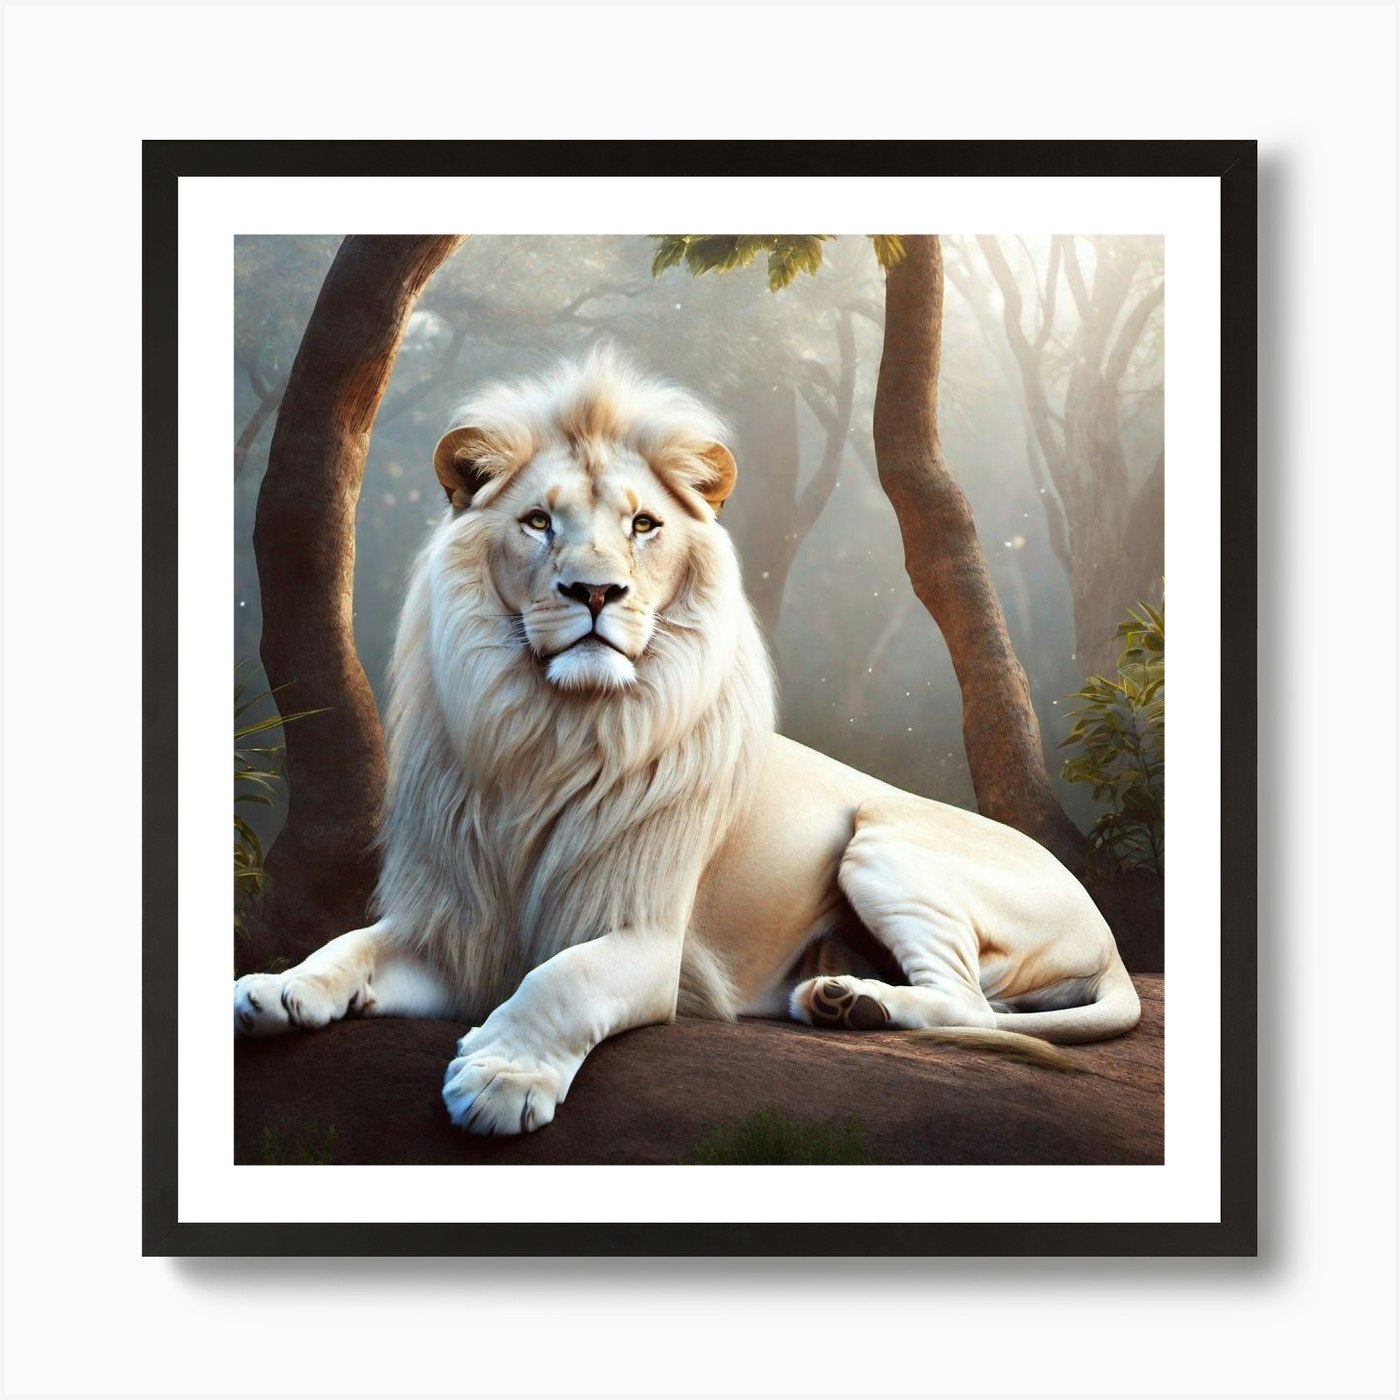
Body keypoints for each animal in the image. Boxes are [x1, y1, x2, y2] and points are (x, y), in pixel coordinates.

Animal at [234, 347, 1141, 1135]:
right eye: (537, 521)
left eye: (643, 525)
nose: (594, 590)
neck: (553, 732)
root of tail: (1110, 937)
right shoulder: (457, 922)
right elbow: (352, 943)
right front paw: (279, 988)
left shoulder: (648, 938)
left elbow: (563, 977)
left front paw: (501, 1077)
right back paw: (843, 998)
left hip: (884, 842)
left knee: (967, 1001)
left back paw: (845, 1002)